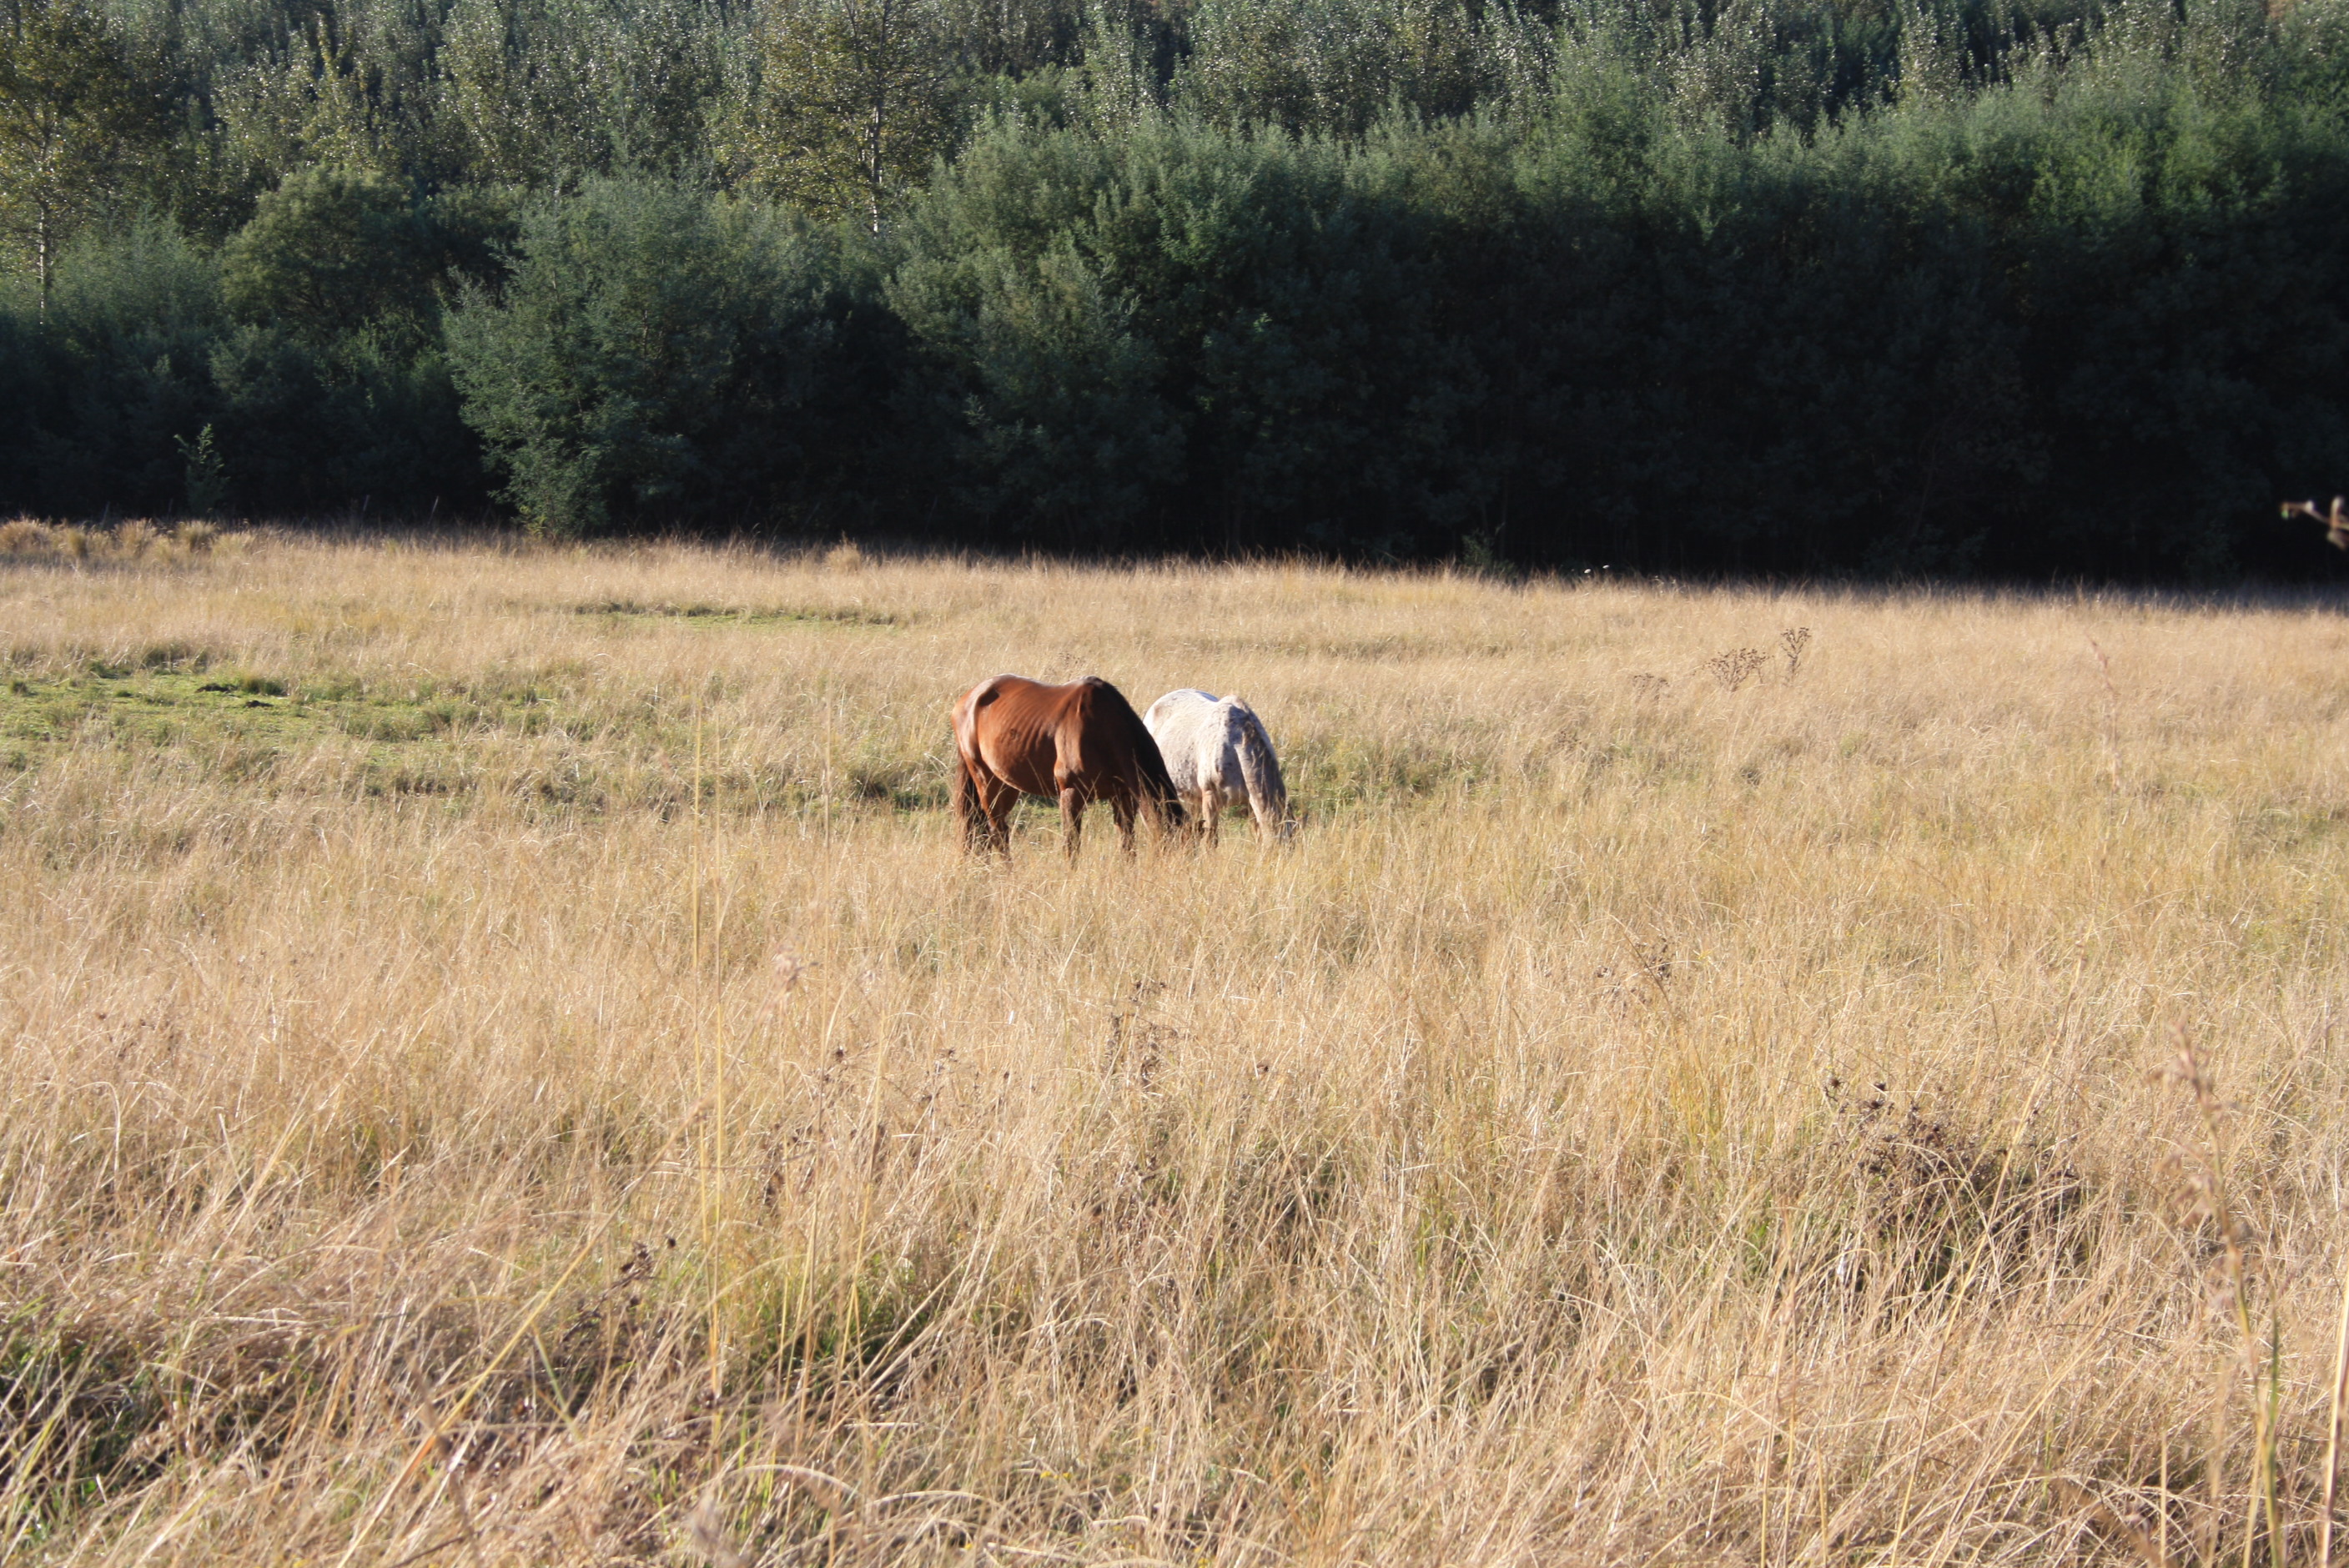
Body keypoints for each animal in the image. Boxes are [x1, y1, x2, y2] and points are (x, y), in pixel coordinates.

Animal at [949, 675, 1187, 858]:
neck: (1102, 727)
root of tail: (970, 698)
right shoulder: (1071, 793)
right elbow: (1071, 847)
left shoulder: (1122, 796)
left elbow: (1127, 844)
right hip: (986, 780)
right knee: (996, 831)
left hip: (1006, 784)